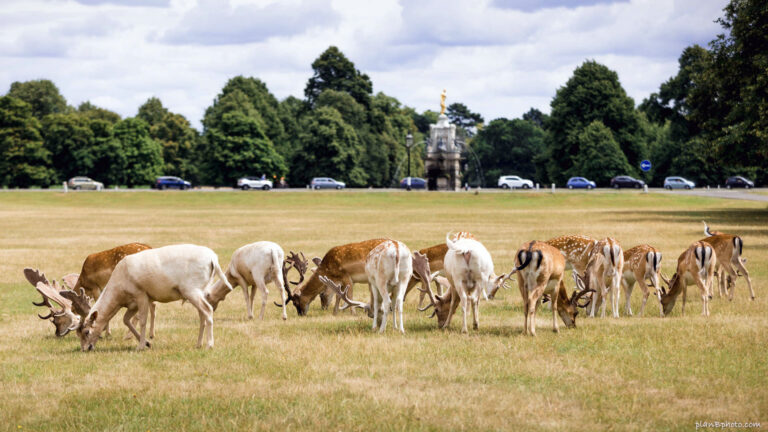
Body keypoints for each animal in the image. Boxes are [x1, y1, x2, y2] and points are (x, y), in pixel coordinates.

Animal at [75, 243, 232, 352]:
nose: (85, 349)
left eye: (86, 331)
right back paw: (198, 344)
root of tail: (213, 259)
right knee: (202, 314)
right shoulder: (132, 303)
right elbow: (126, 320)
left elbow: (142, 320)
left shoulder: (141, 294)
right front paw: (147, 343)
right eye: (78, 333)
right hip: (201, 289)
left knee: (208, 309)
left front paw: (140, 346)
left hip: (191, 289)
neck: (119, 291)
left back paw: (209, 345)